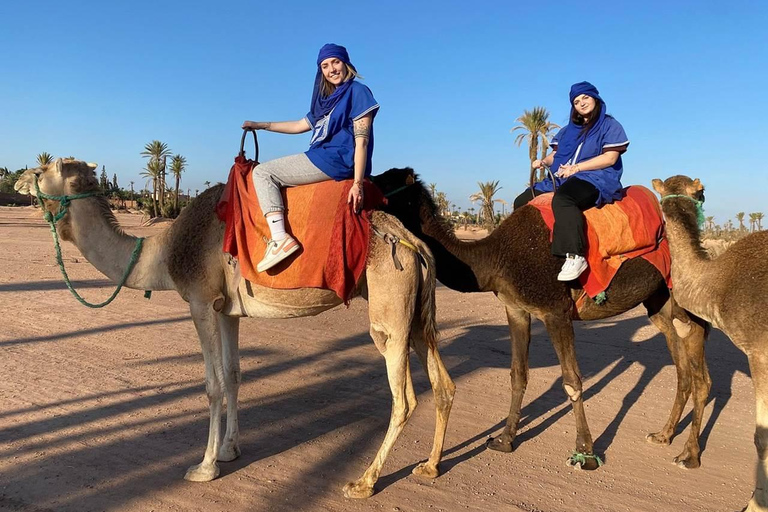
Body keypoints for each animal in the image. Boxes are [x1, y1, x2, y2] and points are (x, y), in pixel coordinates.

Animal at [15, 158, 456, 498]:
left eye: (42, 168)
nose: (18, 178)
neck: (163, 252)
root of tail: (415, 243)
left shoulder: (199, 301)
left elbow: (212, 384)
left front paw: (204, 466)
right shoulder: (227, 311)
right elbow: (233, 375)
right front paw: (230, 449)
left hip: (389, 307)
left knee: (404, 398)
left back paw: (363, 482)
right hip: (415, 314)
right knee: (443, 383)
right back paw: (430, 466)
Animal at [372, 167, 708, 468]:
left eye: (384, 180)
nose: (362, 184)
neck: (495, 257)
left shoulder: (555, 311)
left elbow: (572, 381)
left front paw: (585, 454)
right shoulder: (517, 309)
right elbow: (518, 374)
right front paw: (504, 440)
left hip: (681, 297)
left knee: (695, 349)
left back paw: (689, 455)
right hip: (658, 302)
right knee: (681, 362)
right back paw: (664, 435)